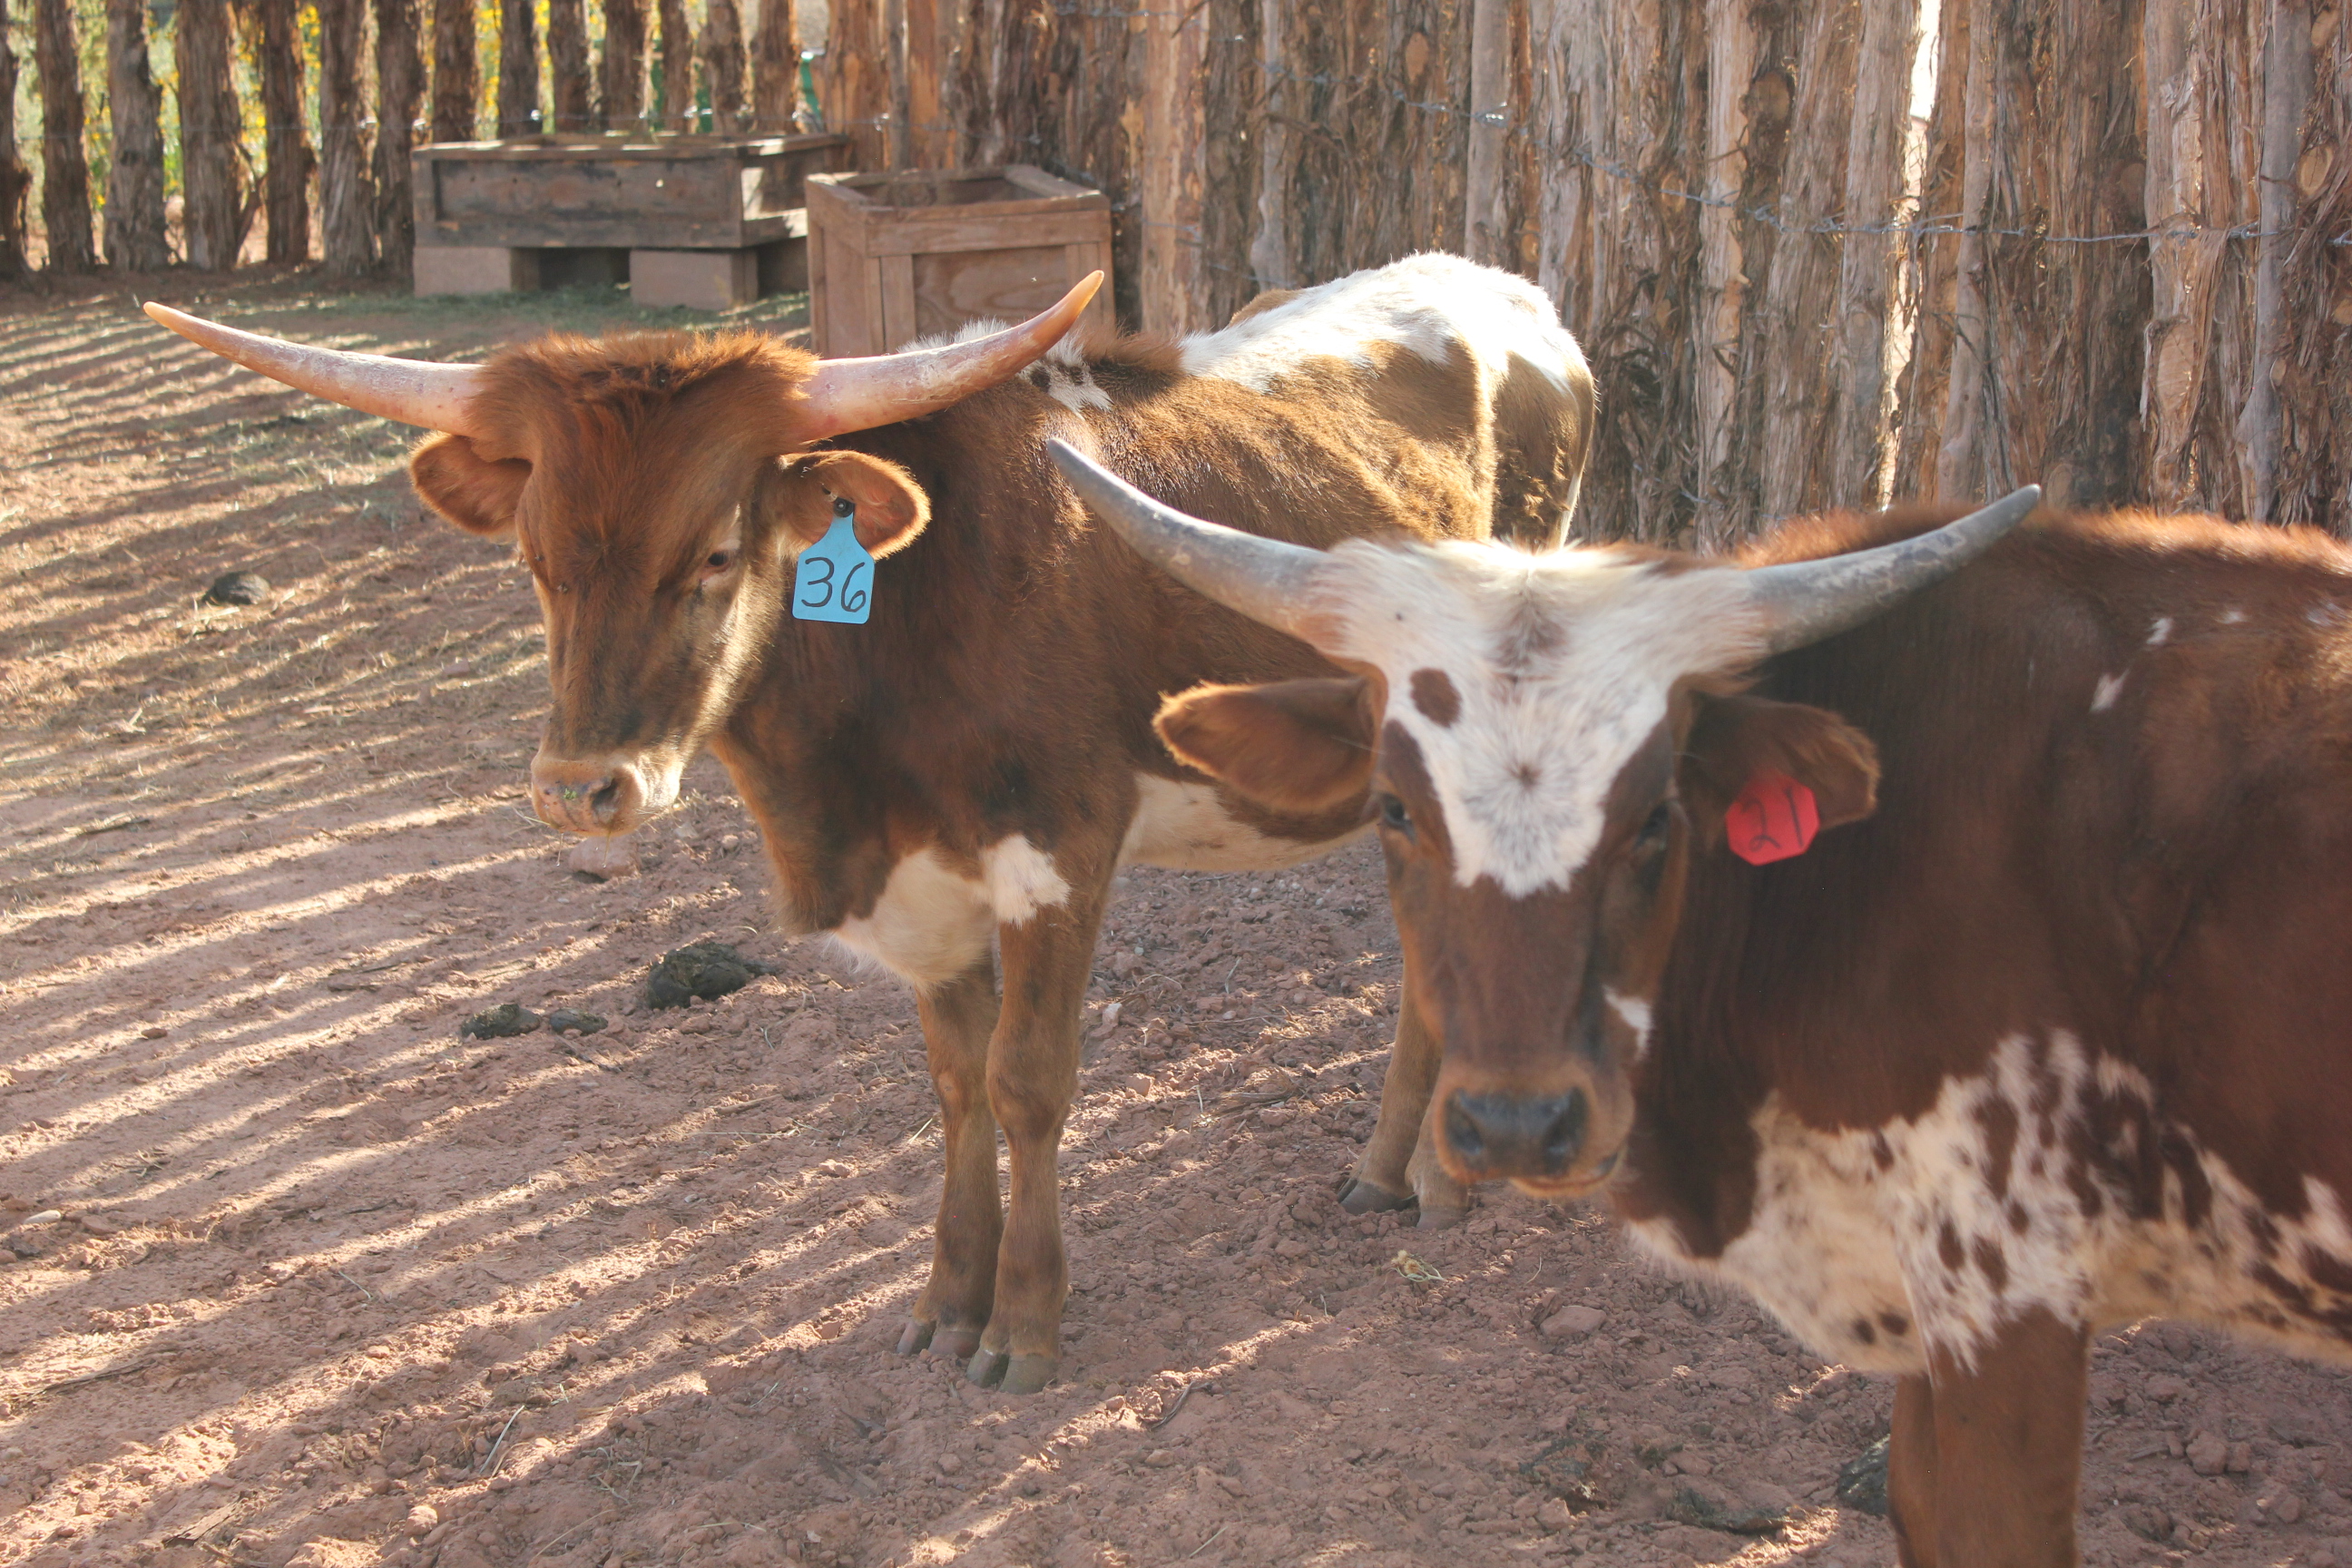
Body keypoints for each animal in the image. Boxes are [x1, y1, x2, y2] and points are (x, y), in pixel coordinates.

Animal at [147, 257, 1599, 1401]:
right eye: (536, 561)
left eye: (714, 555)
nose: (582, 791)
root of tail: (1508, 293)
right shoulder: (923, 891)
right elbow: (954, 1085)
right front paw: (945, 1303)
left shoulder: (1060, 852)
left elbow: (1027, 1080)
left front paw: (1024, 1328)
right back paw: (1389, 1169)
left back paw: (1446, 1183)